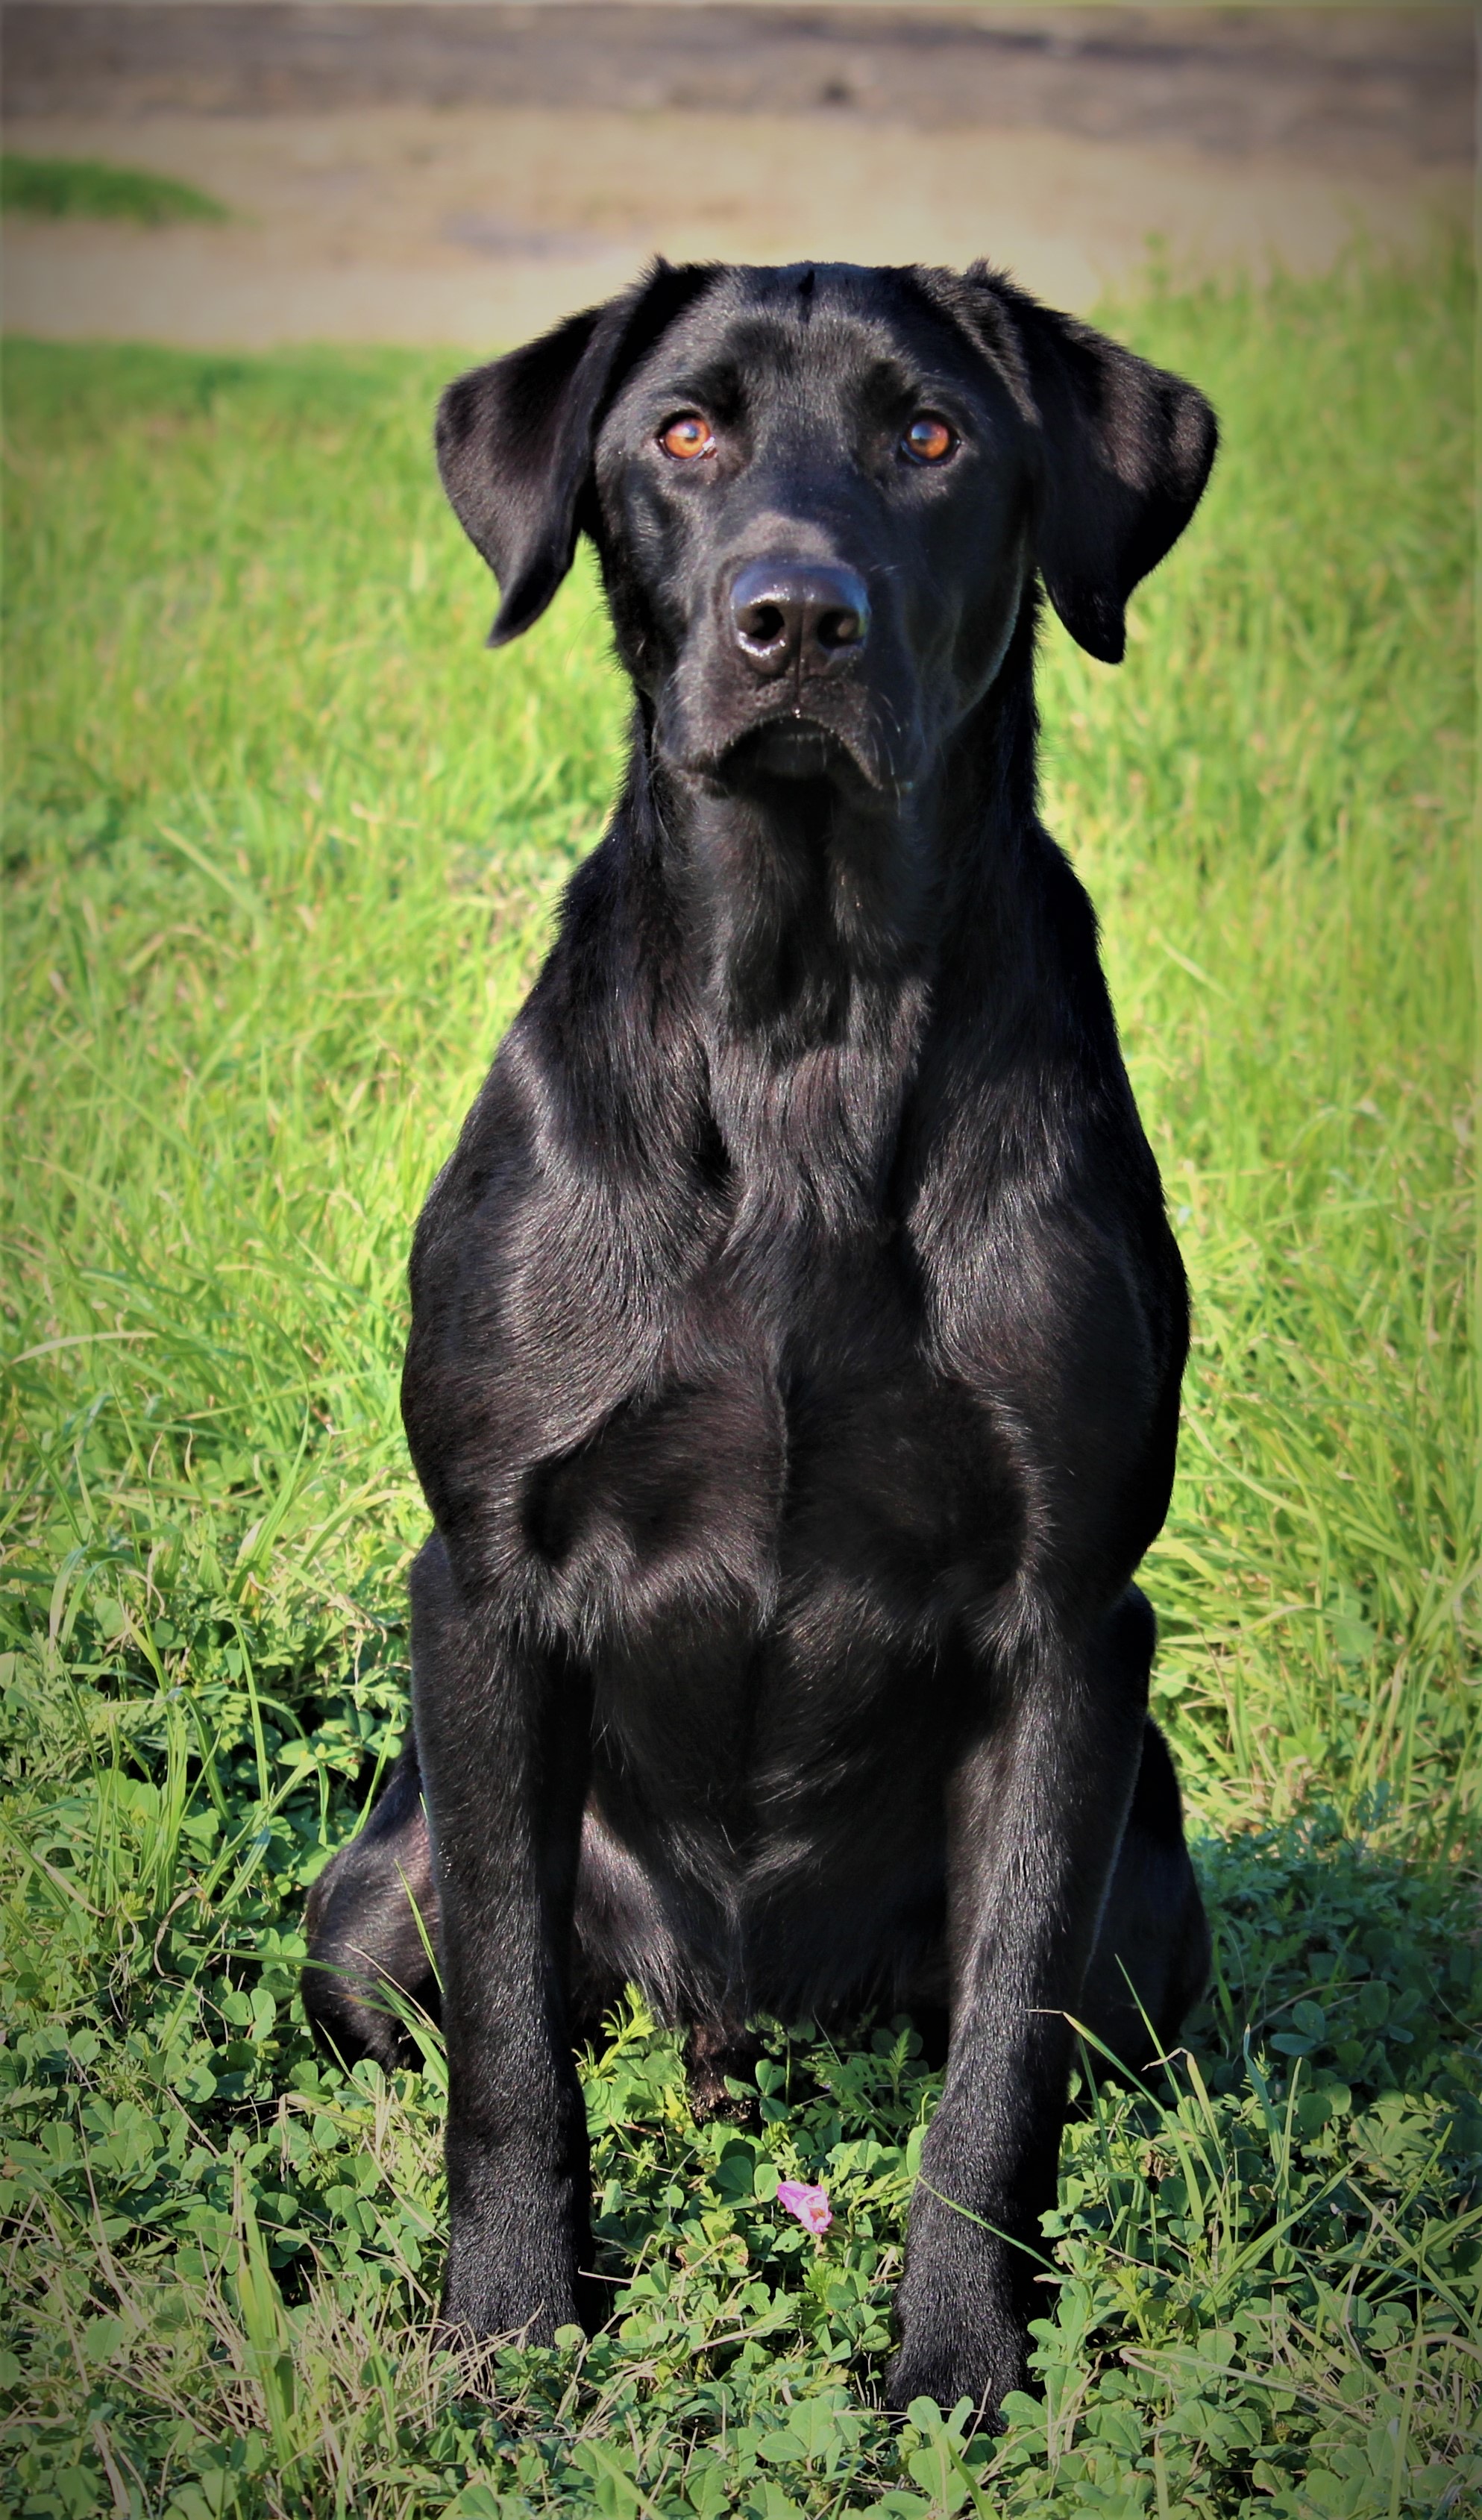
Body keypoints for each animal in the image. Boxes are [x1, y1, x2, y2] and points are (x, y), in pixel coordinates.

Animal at [304, 260, 1214, 2419]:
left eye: (932, 436)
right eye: (683, 431)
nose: (792, 617)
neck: (800, 1022)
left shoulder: (1071, 1627)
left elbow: (994, 2075)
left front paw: (957, 2364)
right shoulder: (482, 1581)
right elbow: (506, 2048)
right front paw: (511, 2325)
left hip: (1152, 1902)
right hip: (366, 1892)